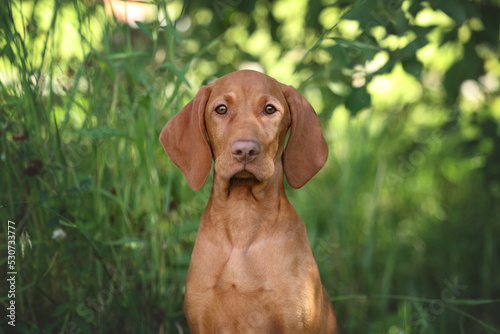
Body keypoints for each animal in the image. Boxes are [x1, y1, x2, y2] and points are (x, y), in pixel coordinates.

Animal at [160, 69, 338, 332]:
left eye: (269, 109)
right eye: (221, 109)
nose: (245, 150)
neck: (242, 216)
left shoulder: (294, 323)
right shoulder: (201, 321)